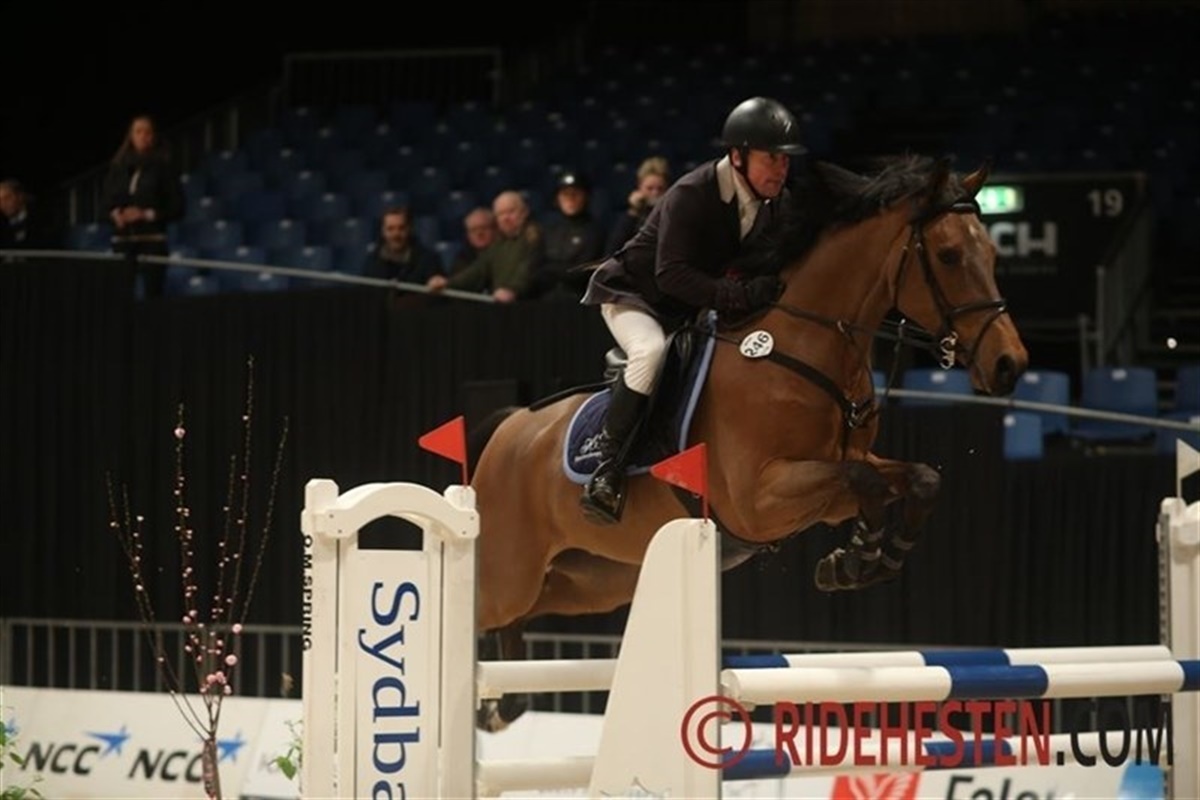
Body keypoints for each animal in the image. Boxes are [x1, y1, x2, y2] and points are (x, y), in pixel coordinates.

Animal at [468, 155, 1030, 730]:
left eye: (992, 253)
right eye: (949, 255)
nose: (1010, 365)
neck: (804, 347)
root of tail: (509, 429)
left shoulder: (831, 479)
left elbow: (917, 478)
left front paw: (865, 559)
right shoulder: (759, 499)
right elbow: (864, 480)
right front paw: (858, 556)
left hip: (594, 579)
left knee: (526, 612)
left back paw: (503, 702)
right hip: (510, 572)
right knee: (481, 609)